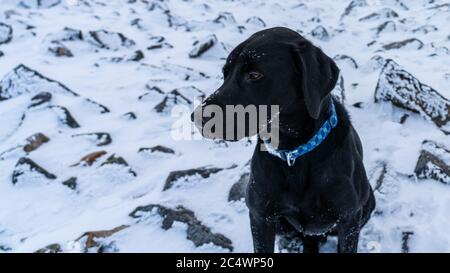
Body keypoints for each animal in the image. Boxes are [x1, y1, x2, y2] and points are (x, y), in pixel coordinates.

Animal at [192, 27, 374, 253]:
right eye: (225, 73)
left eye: (254, 75)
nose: (197, 118)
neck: (293, 151)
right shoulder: (261, 217)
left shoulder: (349, 219)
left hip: (368, 203)